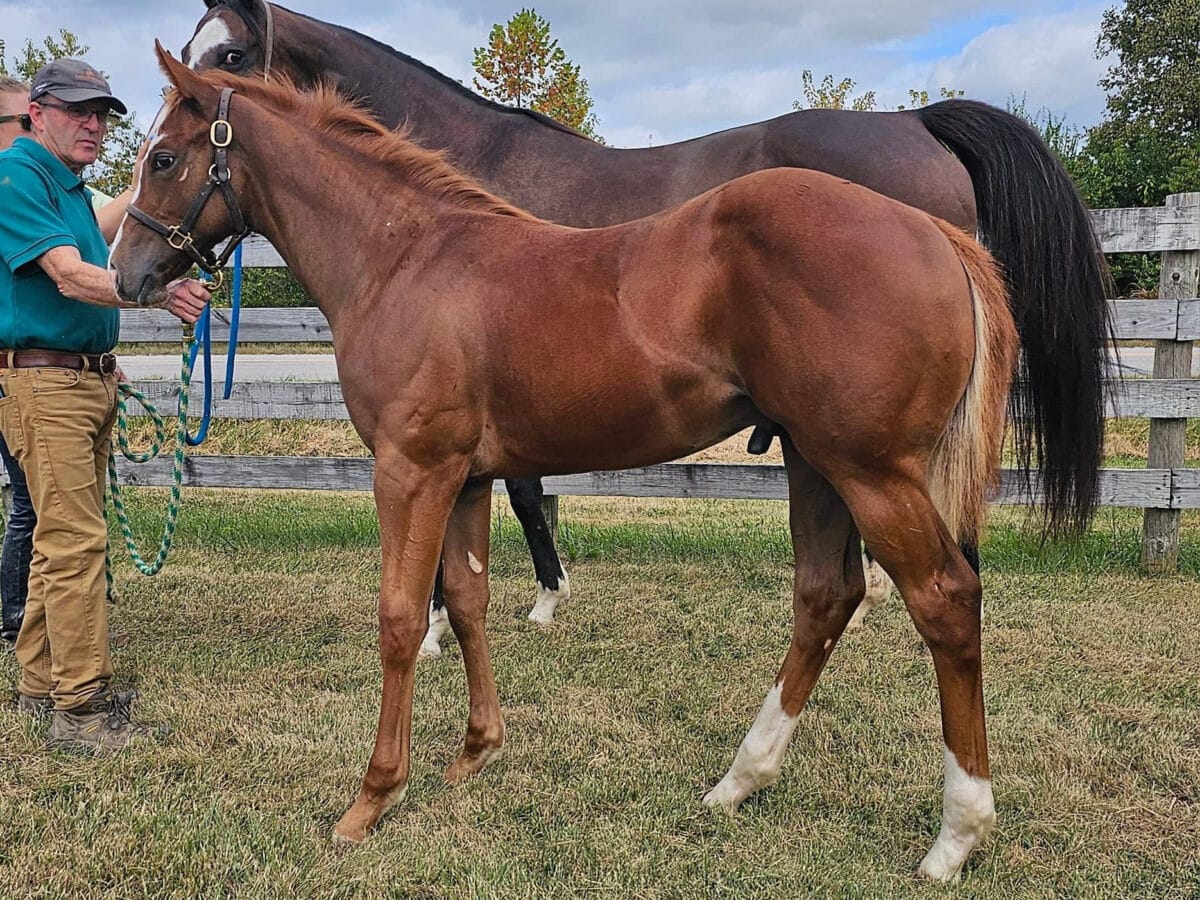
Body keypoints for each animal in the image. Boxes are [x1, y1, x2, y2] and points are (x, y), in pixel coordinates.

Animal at [114, 52, 1032, 883]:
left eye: (163, 158)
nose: (126, 273)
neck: (405, 257)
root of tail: (936, 233)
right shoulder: (468, 475)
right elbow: (470, 598)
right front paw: (475, 752)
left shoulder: (412, 470)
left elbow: (402, 618)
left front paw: (373, 798)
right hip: (815, 462)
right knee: (824, 597)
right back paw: (739, 782)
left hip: (873, 472)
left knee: (945, 601)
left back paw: (955, 836)